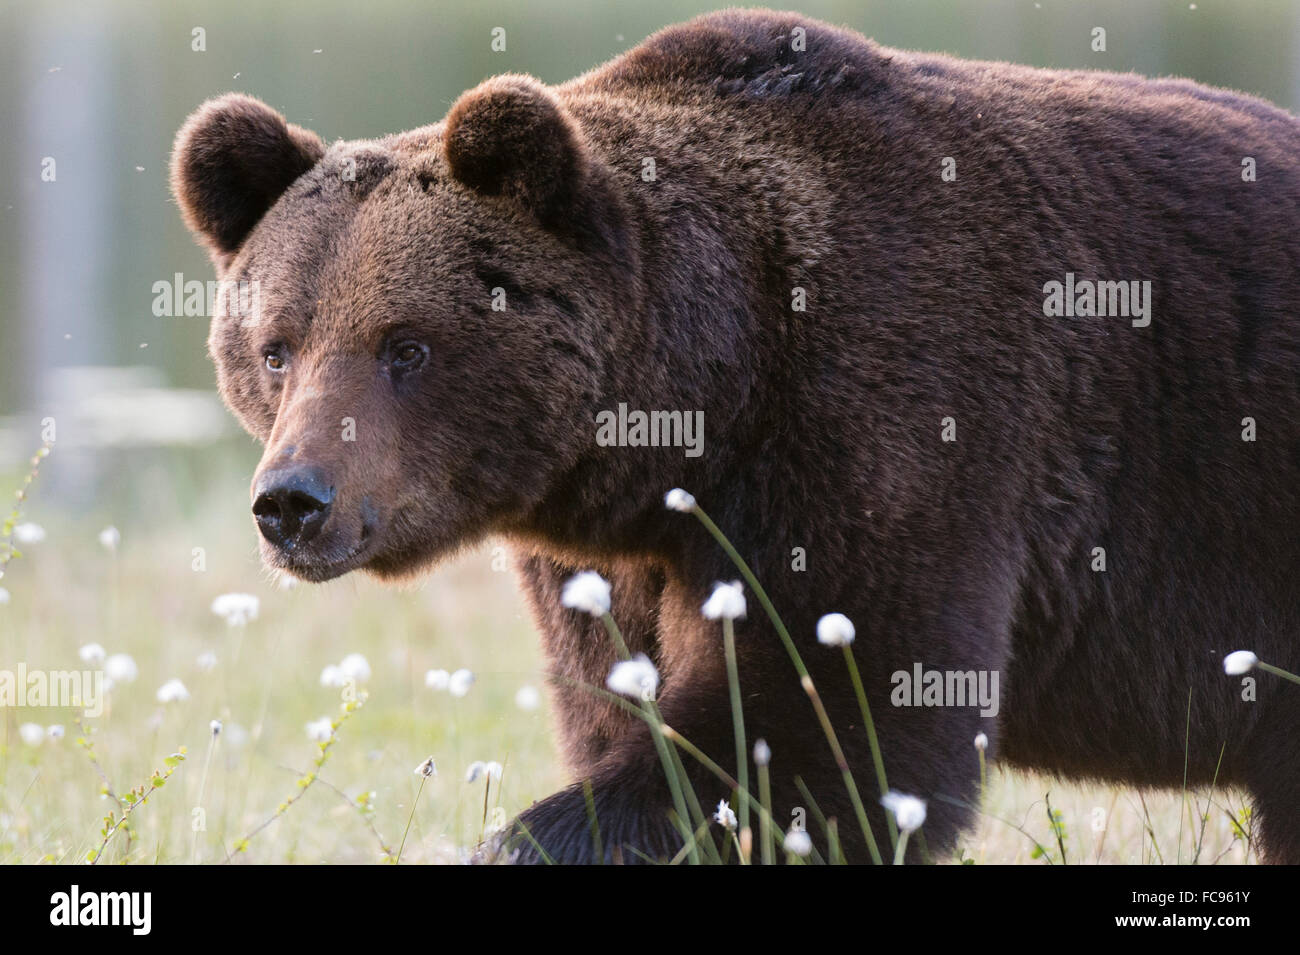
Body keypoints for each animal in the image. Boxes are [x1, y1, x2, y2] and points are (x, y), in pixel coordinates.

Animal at [175, 7, 1300, 862]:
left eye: (403, 344)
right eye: (276, 347)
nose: (292, 501)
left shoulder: (893, 424)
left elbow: (827, 730)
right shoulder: (611, 561)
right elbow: (624, 707)